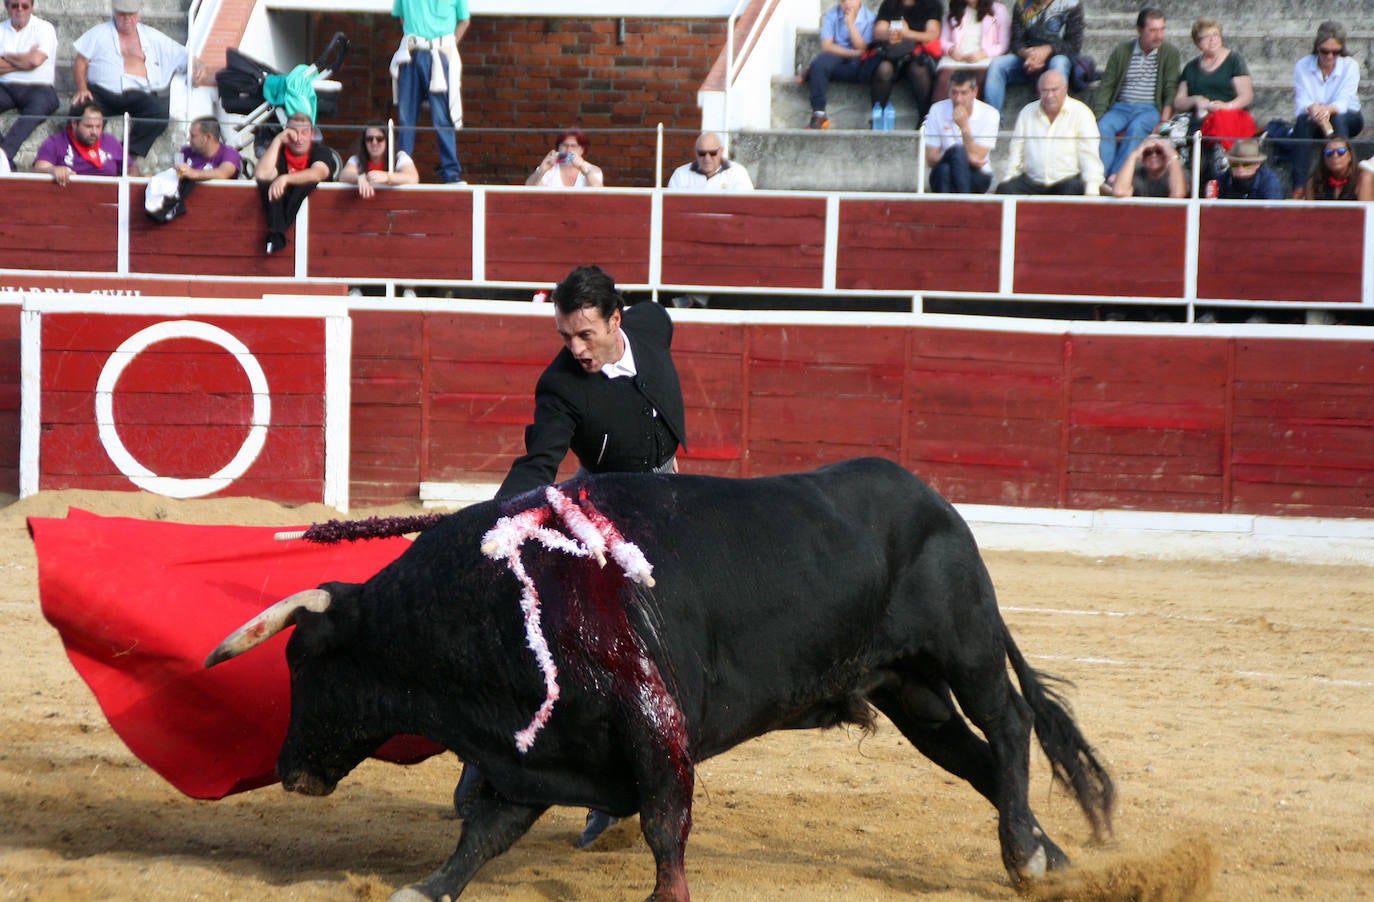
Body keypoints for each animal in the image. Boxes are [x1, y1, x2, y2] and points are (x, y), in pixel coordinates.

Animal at [206, 462, 1115, 896]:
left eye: (304, 663)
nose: (289, 770)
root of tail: (936, 502)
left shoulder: (652, 728)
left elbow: (662, 827)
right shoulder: (541, 751)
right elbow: (481, 839)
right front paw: (419, 891)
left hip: (963, 648)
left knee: (1008, 728)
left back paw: (1025, 855)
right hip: (908, 690)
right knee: (975, 757)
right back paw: (1047, 855)